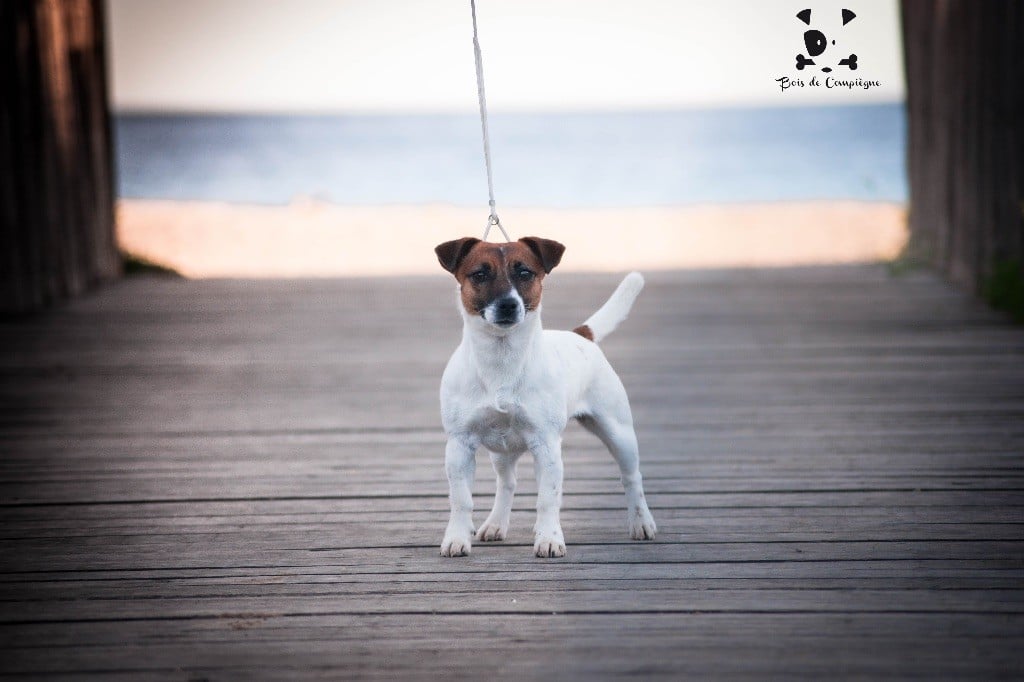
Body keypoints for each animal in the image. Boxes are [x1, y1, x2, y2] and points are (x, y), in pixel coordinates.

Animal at [432, 236, 655, 557]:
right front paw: (457, 539)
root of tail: (581, 335)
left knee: (631, 477)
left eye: (525, 273)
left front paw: (549, 538)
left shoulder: (547, 445)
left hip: (618, 433)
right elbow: (461, 500)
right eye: (479, 274)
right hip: (503, 451)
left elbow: (547, 499)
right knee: (507, 483)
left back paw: (641, 523)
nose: (508, 304)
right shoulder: (459, 446)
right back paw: (495, 524)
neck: (501, 361)